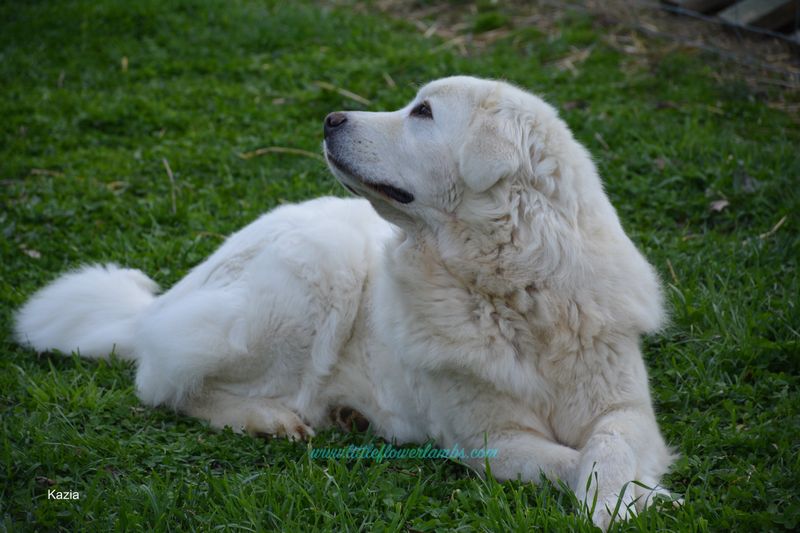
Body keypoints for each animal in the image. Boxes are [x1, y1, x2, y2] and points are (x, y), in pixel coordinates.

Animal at [14, 76, 676, 528]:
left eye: (423, 112)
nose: (331, 118)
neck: (515, 287)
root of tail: (172, 293)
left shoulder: (623, 407)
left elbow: (606, 446)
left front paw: (624, 496)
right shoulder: (492, 440)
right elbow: (566, 460)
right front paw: (633, 498)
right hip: (316, 266)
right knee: (165, 384)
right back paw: (270, 419)